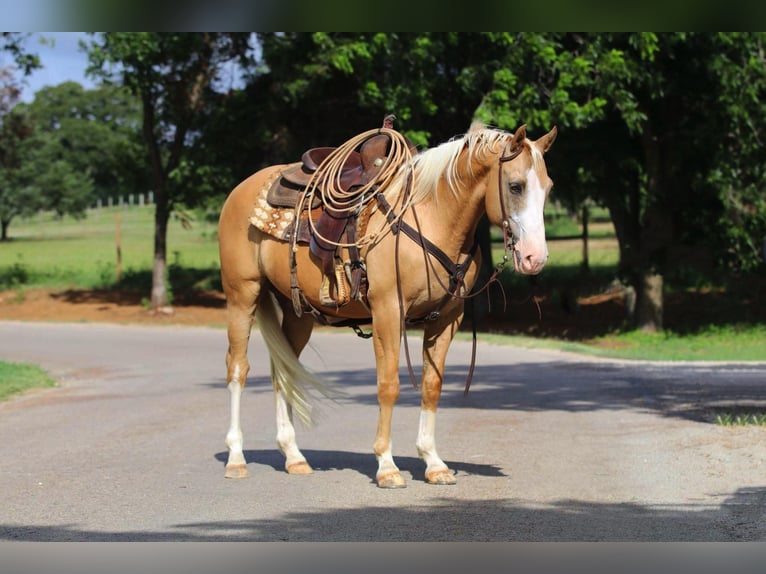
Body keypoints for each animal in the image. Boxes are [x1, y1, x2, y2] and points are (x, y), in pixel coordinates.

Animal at [216, 121, 560, 490]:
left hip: (299, 314)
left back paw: (294, 457)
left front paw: (434, 463)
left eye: (548, 188)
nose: (535, 257)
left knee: (283, 370)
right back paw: (236, 458)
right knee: (237, 368)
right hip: (242, 295)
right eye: (515, 185)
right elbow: (388, 385)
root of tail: (242, 189)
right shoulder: (388, 312)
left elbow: (432, 386)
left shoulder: (448, 319)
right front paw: (387, 466)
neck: (433, 216)